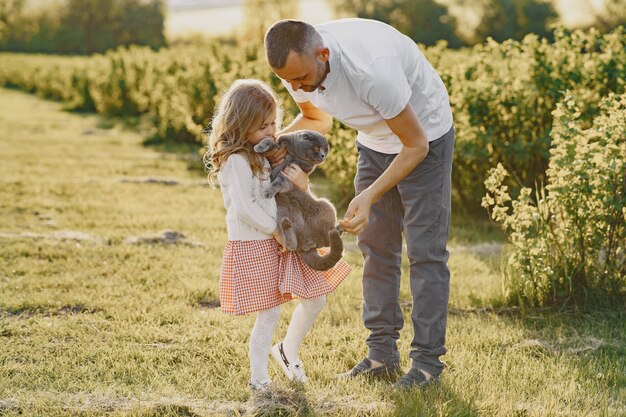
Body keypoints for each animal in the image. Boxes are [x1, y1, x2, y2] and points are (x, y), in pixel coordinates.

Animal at [252, 132, 342, 272]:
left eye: (326, 149)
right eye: (317, 148)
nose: (323, 155)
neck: (295, 155)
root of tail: (308, 243)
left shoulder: (289, 177)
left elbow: (277, 183)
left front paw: (268, 192)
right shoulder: (279, 145)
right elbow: (269, 140)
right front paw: (259, 147)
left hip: (326, 206)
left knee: (326, 242)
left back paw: (338, 229)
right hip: (282, 213)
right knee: (292, 246)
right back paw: (288, 227)